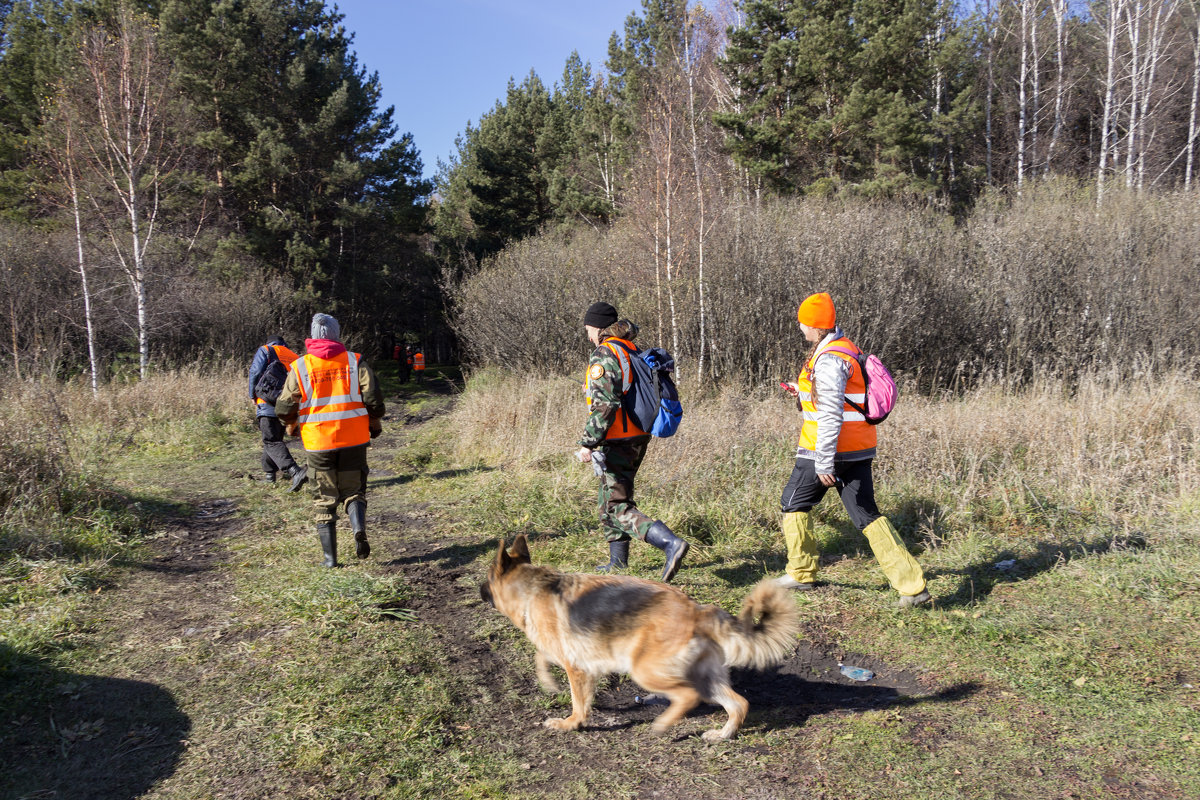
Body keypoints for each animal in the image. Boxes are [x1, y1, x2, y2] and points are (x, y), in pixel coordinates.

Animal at [475, 534, 796, 743]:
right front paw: (549, 684)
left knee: (688, 696)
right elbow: (541, 657)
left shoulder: (577, 667)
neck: (532, 589)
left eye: (487, 579)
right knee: (738, 704)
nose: (478, 590)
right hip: (705, 677)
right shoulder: (577, 661)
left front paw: (571, 723)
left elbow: (577, 701)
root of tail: (697, 610)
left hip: (645, 671)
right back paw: (722, 735)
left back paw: (662, 725)